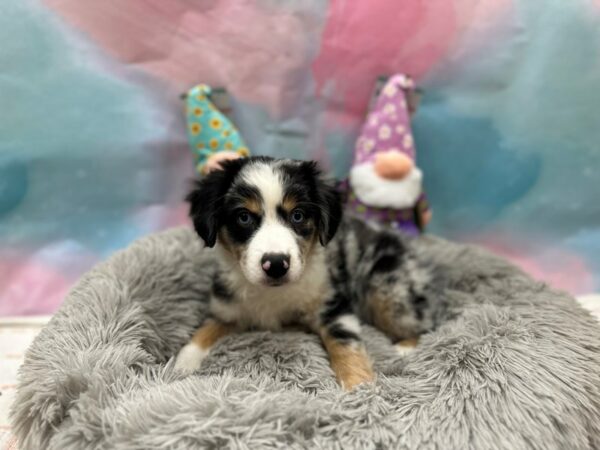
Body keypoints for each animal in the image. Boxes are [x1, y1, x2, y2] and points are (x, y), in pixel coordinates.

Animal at [173, 156, 436, 388]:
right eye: (244, 217)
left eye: (297, 215)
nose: (276, 264)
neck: (273, 294)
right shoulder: (226, 308)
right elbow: (205, 329)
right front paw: (183, 363)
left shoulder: (332, 306)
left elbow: (346, 344)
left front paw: (359, 389)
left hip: (388, 290)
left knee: (426, 325)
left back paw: (403, 348)